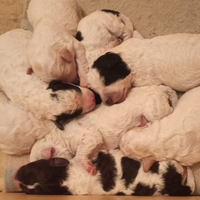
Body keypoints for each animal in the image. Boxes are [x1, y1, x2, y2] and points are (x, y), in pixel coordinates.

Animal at [30, 85, 178, 176]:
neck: (59, 138)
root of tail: (158, 88)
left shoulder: (89, 136)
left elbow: (80, 153)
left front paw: (89, 168)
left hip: (155, 110)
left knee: (169, 110)